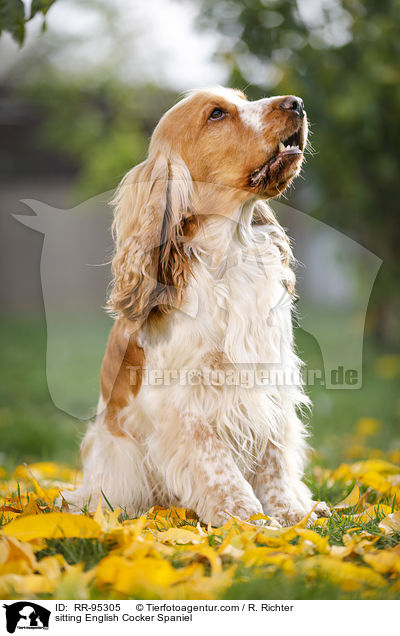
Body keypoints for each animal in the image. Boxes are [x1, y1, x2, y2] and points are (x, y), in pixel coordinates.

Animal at [59, 88, 328, 528]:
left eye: (243, 98)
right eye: (216, 114)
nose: (297, 103)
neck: (230, 254)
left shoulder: (269, 381)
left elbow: (274, 460)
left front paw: (292, 514)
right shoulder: (183, 403)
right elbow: (216, 463)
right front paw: (250, 520)